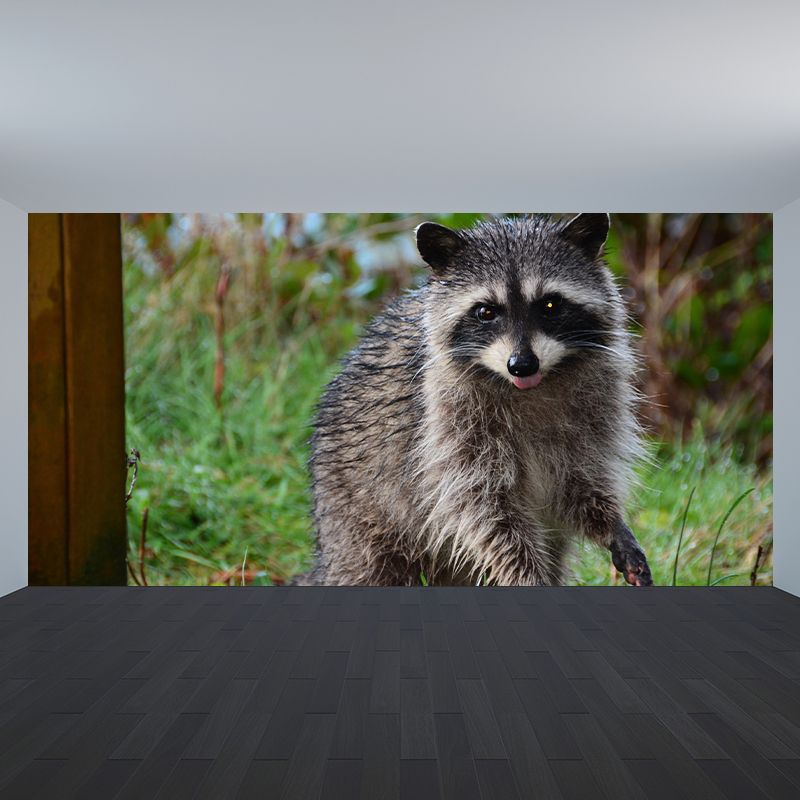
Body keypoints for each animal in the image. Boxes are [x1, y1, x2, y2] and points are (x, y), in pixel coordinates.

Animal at [304, 213, 653, 587]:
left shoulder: (596, 408)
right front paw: (525, 574)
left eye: (550, 305)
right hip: (357, 515)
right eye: (485, 311)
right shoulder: (447, 427)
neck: (528, 388)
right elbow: (484, 511)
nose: (522, 364)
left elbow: (582, 483)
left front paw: (612, 525)